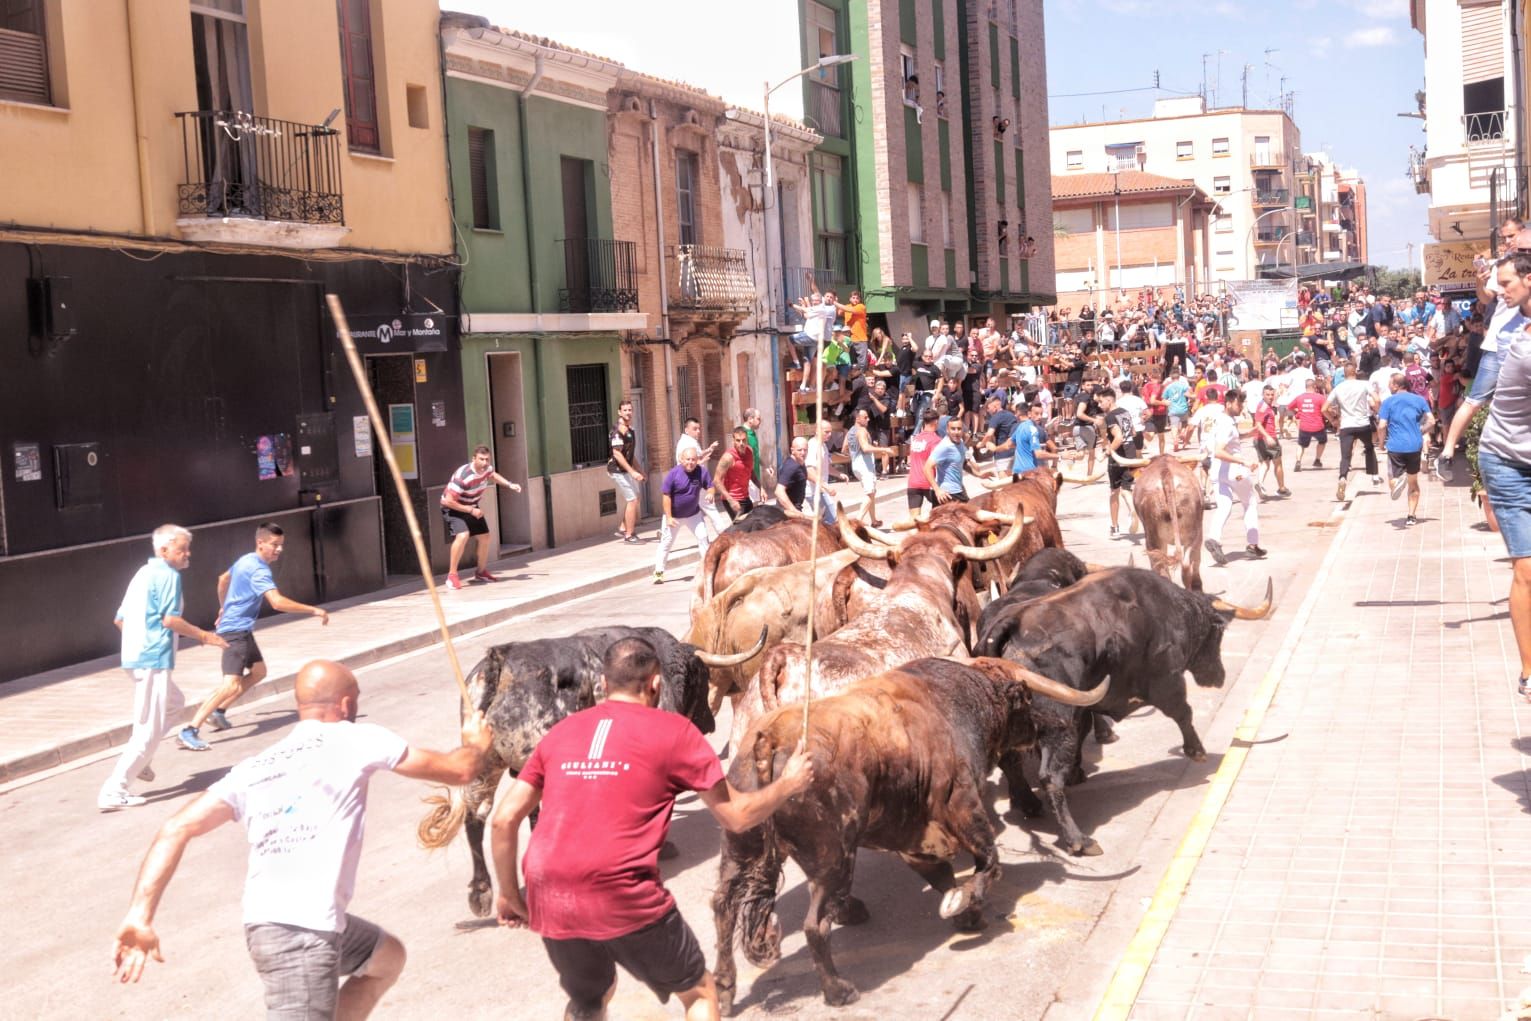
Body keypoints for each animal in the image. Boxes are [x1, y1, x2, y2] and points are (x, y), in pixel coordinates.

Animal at [710, 658, 1108, 1010]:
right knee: (814, 925)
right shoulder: (963, 806)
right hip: (834, 855)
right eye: (1025, 699)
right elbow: (989, 863)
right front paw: (967, 904)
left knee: (723, 908)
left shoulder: (912, 837)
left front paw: (964, 911)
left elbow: (944, 876)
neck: (961, 700)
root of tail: (771, 739)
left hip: (740, 847)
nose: (1041, 728)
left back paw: (725, 989)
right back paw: (838, 989)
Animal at [973, 566, 1273, 857]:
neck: (1173, 610)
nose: (1218, 677)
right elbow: (1183, 713)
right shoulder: (1168, 681)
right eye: (1217, 634)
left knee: (1011, 761)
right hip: (1058, 725)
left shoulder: (1085, 707)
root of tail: (1010, 623)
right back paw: (1079, 840)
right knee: (1049, 777)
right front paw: (1196, 751)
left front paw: (1077, 771)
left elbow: (1085, 731)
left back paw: (1029, 803)